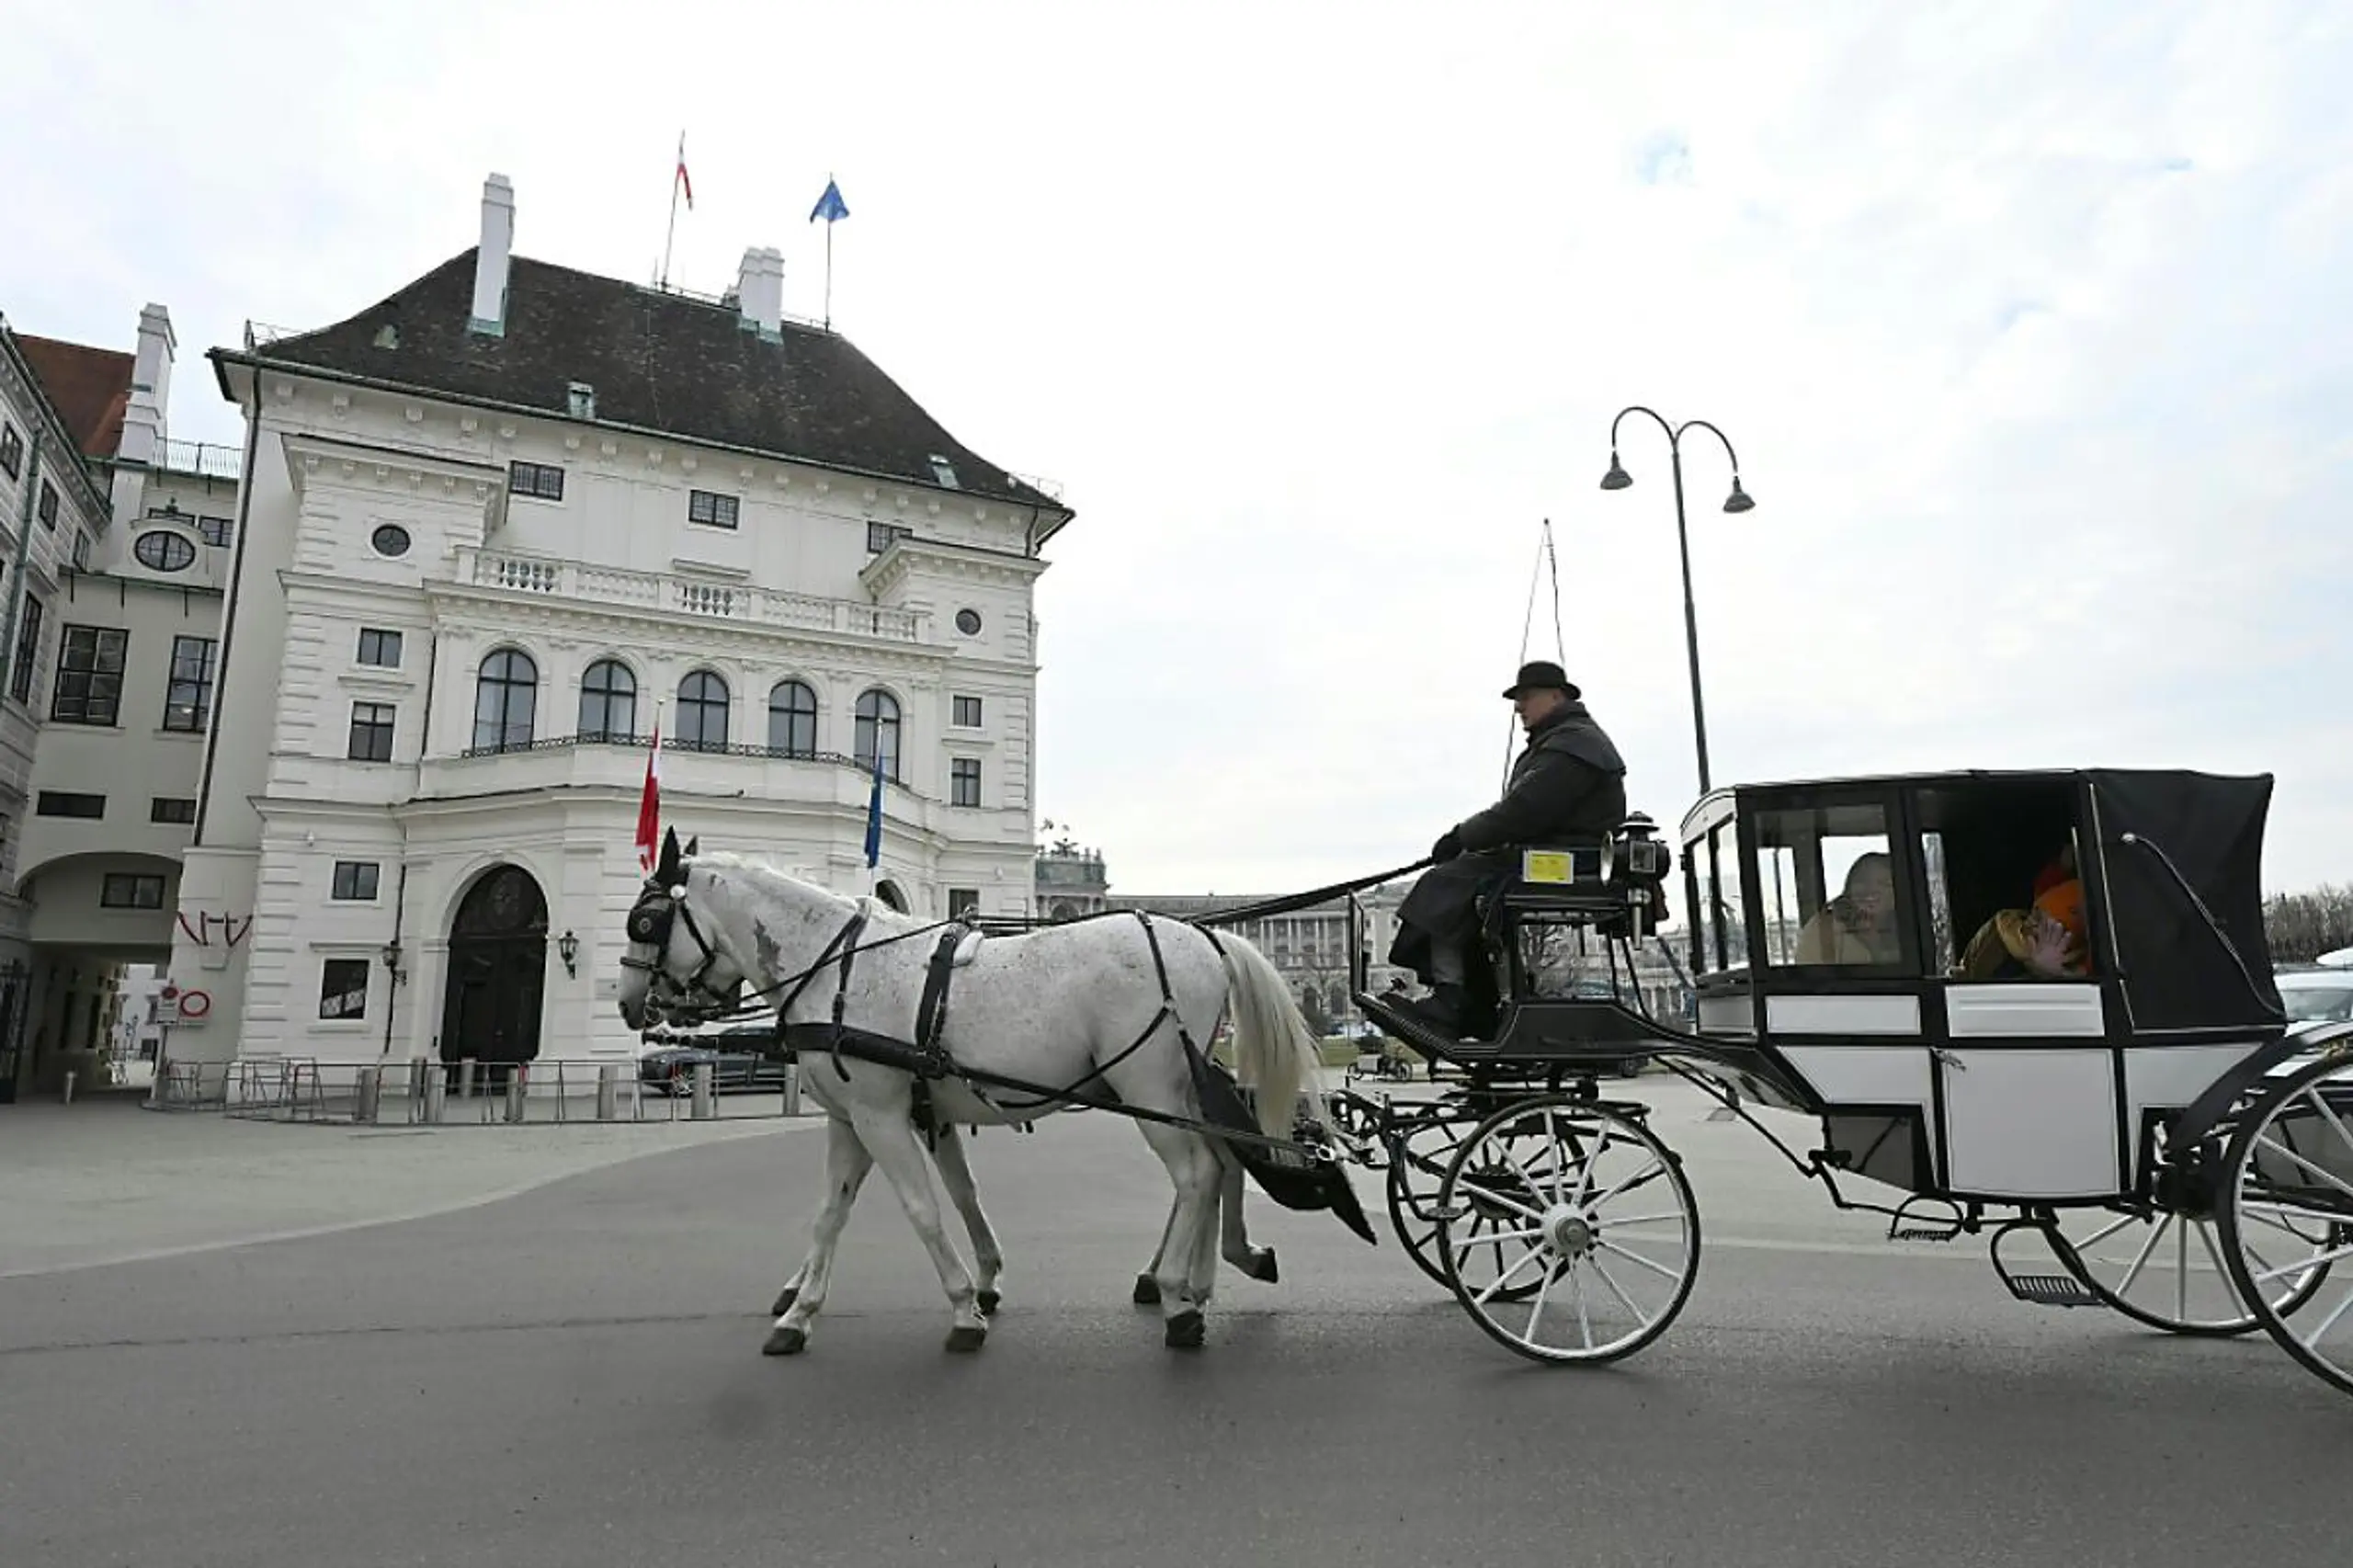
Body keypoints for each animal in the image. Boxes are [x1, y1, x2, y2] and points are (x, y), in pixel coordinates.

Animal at [616, 828, 1336, 1356]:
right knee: (1221, 1164)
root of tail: (1205, 934)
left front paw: (965, 1308)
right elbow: (838, 1212)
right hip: (1178, 1088)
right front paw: (799, 1312)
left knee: (1196, 1174)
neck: (837, 970)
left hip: (1150, 1086)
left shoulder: (881, 1116)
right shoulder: (857, 1119)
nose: (629, 1004)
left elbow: (923, 1209)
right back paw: (1203, 1279)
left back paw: (1178, 1296)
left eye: (645, 921)